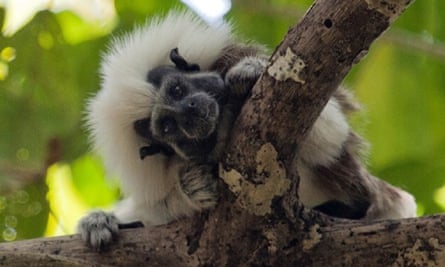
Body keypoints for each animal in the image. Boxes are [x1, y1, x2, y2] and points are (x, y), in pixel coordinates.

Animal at [77, 9, 416, 251]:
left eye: (176, 90)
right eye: (167, 126)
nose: (190, 112)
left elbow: (330, 135)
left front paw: (248, 75)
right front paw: (192, 187)